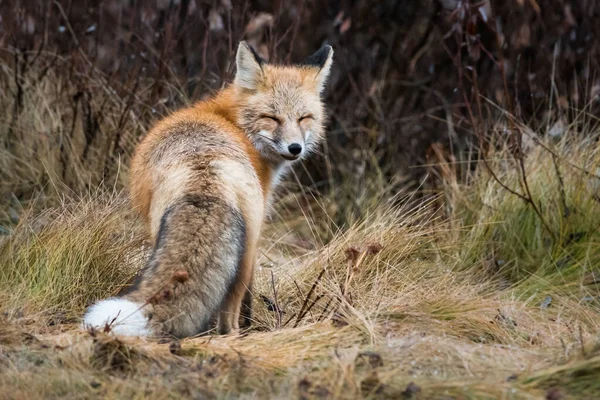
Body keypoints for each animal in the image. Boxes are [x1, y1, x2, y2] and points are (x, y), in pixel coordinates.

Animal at [82, 41, 332, 338]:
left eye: (304, 118)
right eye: (272, 118)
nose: (295, 148)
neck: (233, 123)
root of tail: (205, 168)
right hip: (246, 252)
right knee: (230, 313)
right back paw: (232, 336)